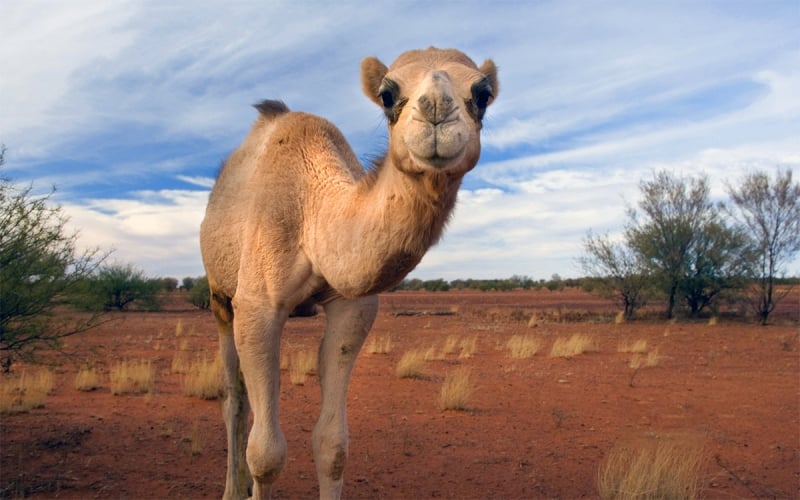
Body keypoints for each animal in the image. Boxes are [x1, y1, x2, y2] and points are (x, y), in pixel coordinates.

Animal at [199, 46, 496, 496]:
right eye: (388, 94)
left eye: (483, 94)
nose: (436, 111)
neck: (313, 214)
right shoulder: (257, 307)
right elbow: (266, 454)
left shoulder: (352, 307)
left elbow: (333, 445)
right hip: (220, 296)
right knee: (233, 398)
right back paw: (233, 489)